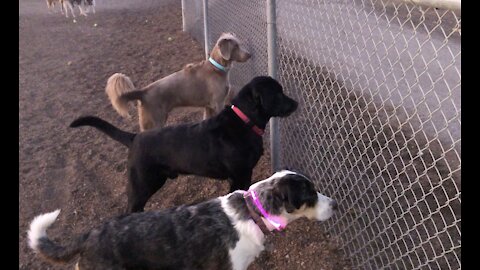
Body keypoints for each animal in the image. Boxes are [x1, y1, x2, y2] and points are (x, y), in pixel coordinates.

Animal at [69, 76, 298, 213]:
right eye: (278, 93)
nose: (296, 103)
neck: (244, 121)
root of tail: (134, 137)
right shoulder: (239, 175)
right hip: (142, 183)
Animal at [105, 32, 251, 131]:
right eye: (235, 46)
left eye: (239, 44)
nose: (249, 54)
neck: (217, 68)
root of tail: (142, 92)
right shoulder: (218, 103)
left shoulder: (208, 106)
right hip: (155, 121)